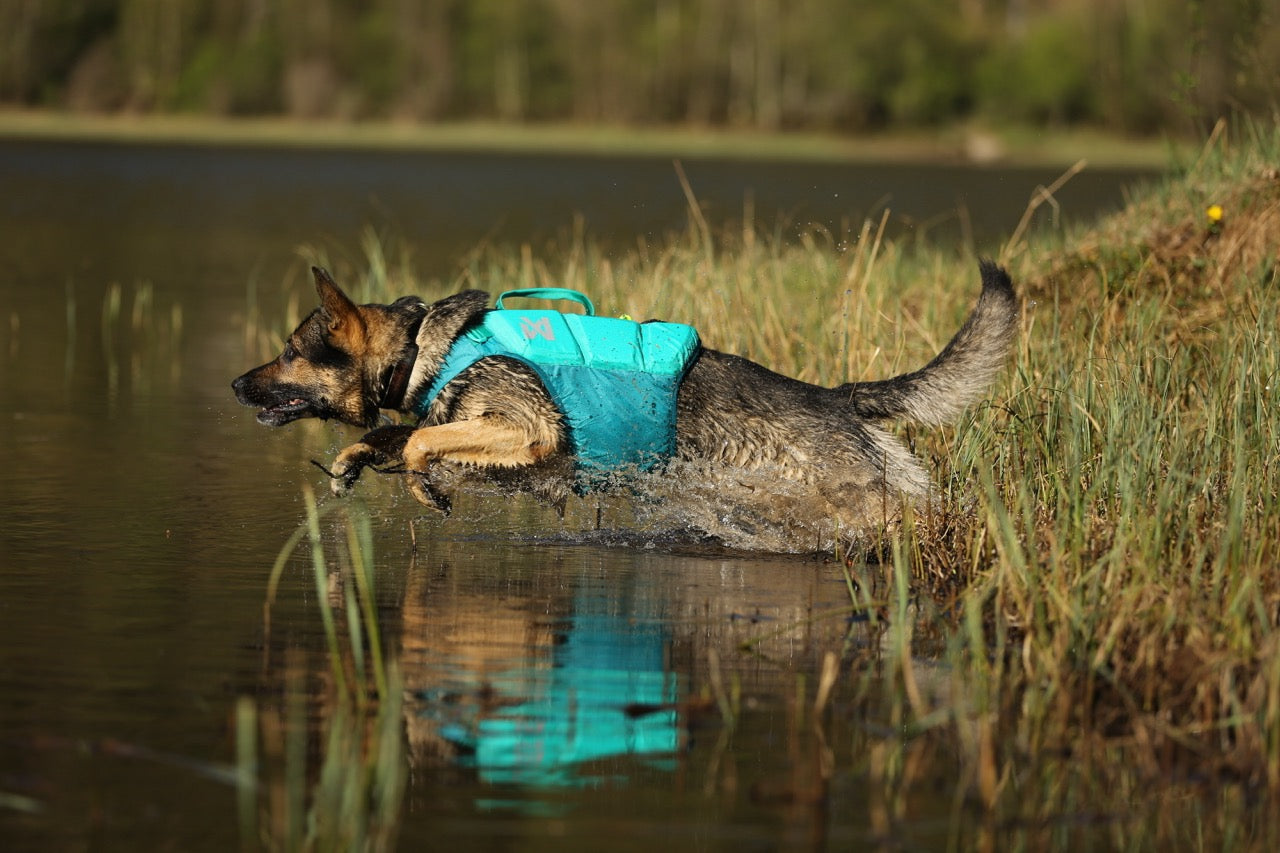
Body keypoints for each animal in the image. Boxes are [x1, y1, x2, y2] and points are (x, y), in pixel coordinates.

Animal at [235, 262, 1018, 535]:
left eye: (291, 351)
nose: (238, 384)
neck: (422, 348)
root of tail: (838, 397)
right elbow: (395, 434)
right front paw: (352, 462)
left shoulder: (527, 428)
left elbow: (425, 439)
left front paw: (426, 486)